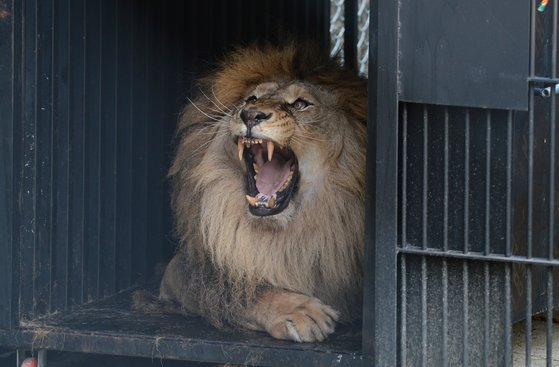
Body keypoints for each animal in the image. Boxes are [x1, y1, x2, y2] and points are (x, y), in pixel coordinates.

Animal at [143, 43, 368, 344]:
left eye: (301, 104)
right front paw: (299, 311)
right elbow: (239, 290)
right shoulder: (180, 270)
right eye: (251, 98)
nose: (250, 114)